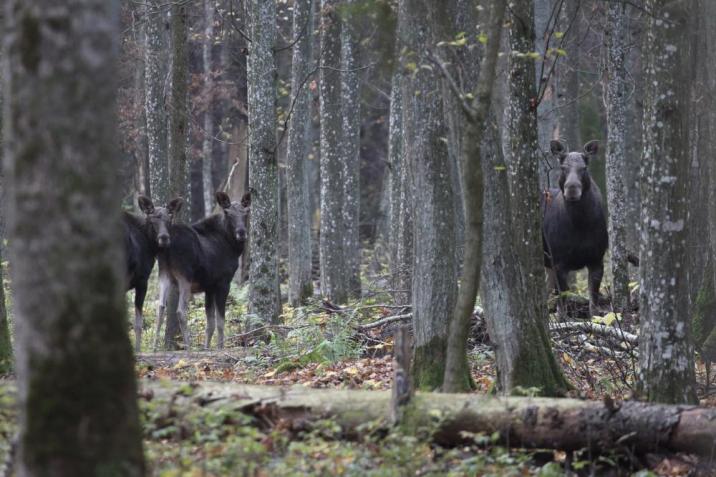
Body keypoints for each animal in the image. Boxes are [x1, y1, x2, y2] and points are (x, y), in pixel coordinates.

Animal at [122, 195, 182, 352]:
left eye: (170, 218)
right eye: (153, 219)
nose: (164, 238)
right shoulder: (142, 280)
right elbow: (138, 323)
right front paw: (137, 350)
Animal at [152, 190, 250, 350]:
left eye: (246, 212)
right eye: (228, 213)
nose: (241, 232)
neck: (233, 248)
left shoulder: (209, 287)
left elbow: (210, 324)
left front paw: (206, 348)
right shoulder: (223, 282)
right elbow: (220, 321)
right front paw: (220, 348)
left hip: (164, 274)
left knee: (160, 307)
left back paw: (154, 348)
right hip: (184, 276)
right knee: (180, 311)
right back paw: (188, 347)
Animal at [544, 140, 608, 316]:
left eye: (584, 168)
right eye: (563, 167)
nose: (572, 188)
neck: (580, 224)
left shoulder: (596, 259)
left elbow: (594, 303)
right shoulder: (559, 262)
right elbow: (562, 304)